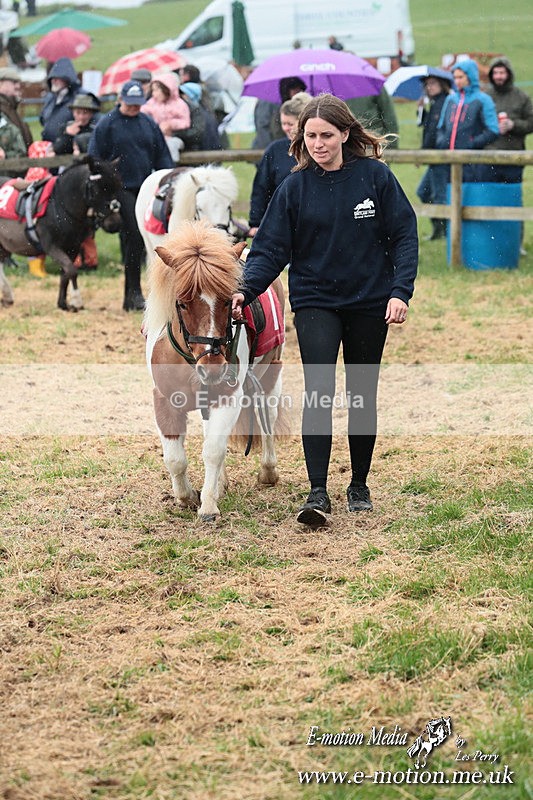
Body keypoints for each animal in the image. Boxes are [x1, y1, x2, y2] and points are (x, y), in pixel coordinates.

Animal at [0, 156, 122, 311]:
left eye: (118, 186)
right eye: (96, 189)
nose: (114, 223)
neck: (59, 205)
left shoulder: (73, 247)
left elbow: (66, 273)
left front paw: (63, 303)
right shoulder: (51, 247)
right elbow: (71, 270)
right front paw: (76, 301)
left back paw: (7, 296)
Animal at [144, 219, 285, 522]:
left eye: (229, 301)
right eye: (182, 303)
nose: (213, 369)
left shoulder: (227, 396)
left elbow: (214, 450)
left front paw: (207, 504)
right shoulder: (164, 399)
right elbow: (175, 458)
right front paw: (186, 496)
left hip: (271, 372)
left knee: (267, 416)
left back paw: (268, 470)